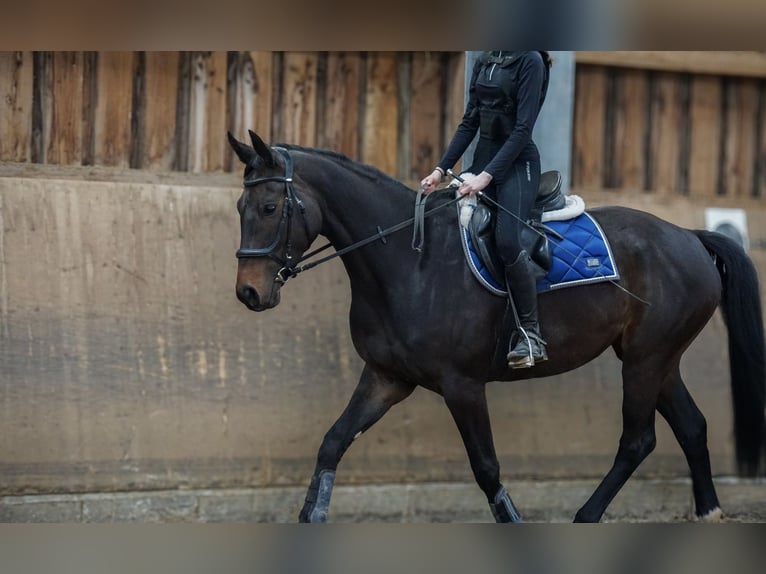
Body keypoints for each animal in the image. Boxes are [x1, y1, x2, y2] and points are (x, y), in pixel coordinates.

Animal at [228, 132, 766, 528]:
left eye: (271, 208)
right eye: (239, 209)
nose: (249, 293)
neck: (409, 260)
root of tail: (688, 236)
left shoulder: (462, 386)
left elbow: (486, 468)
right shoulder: (386, 378)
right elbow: (333, 441)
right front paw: (310, 515)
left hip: (644, 361)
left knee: (638, 440)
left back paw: (587, 515)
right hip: (656, 358)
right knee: (692, 426)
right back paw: (708, 512)